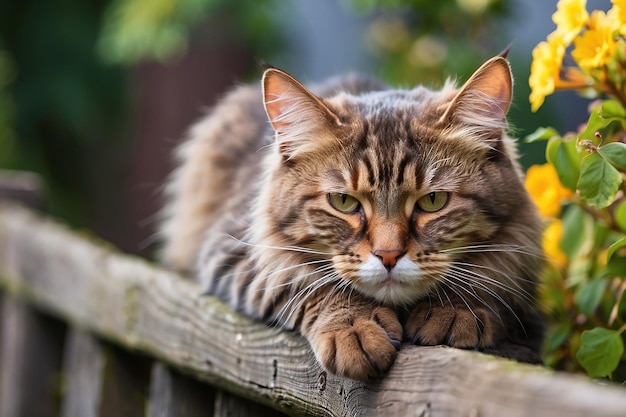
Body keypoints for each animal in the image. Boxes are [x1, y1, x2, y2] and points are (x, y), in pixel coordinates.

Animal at [160, 52, 540, 380]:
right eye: (343, 202)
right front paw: (354, 328)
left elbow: (487, 278)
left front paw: (454, 310)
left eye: (433, 201)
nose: (388, 256)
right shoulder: (239, 249)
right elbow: (316, 285)